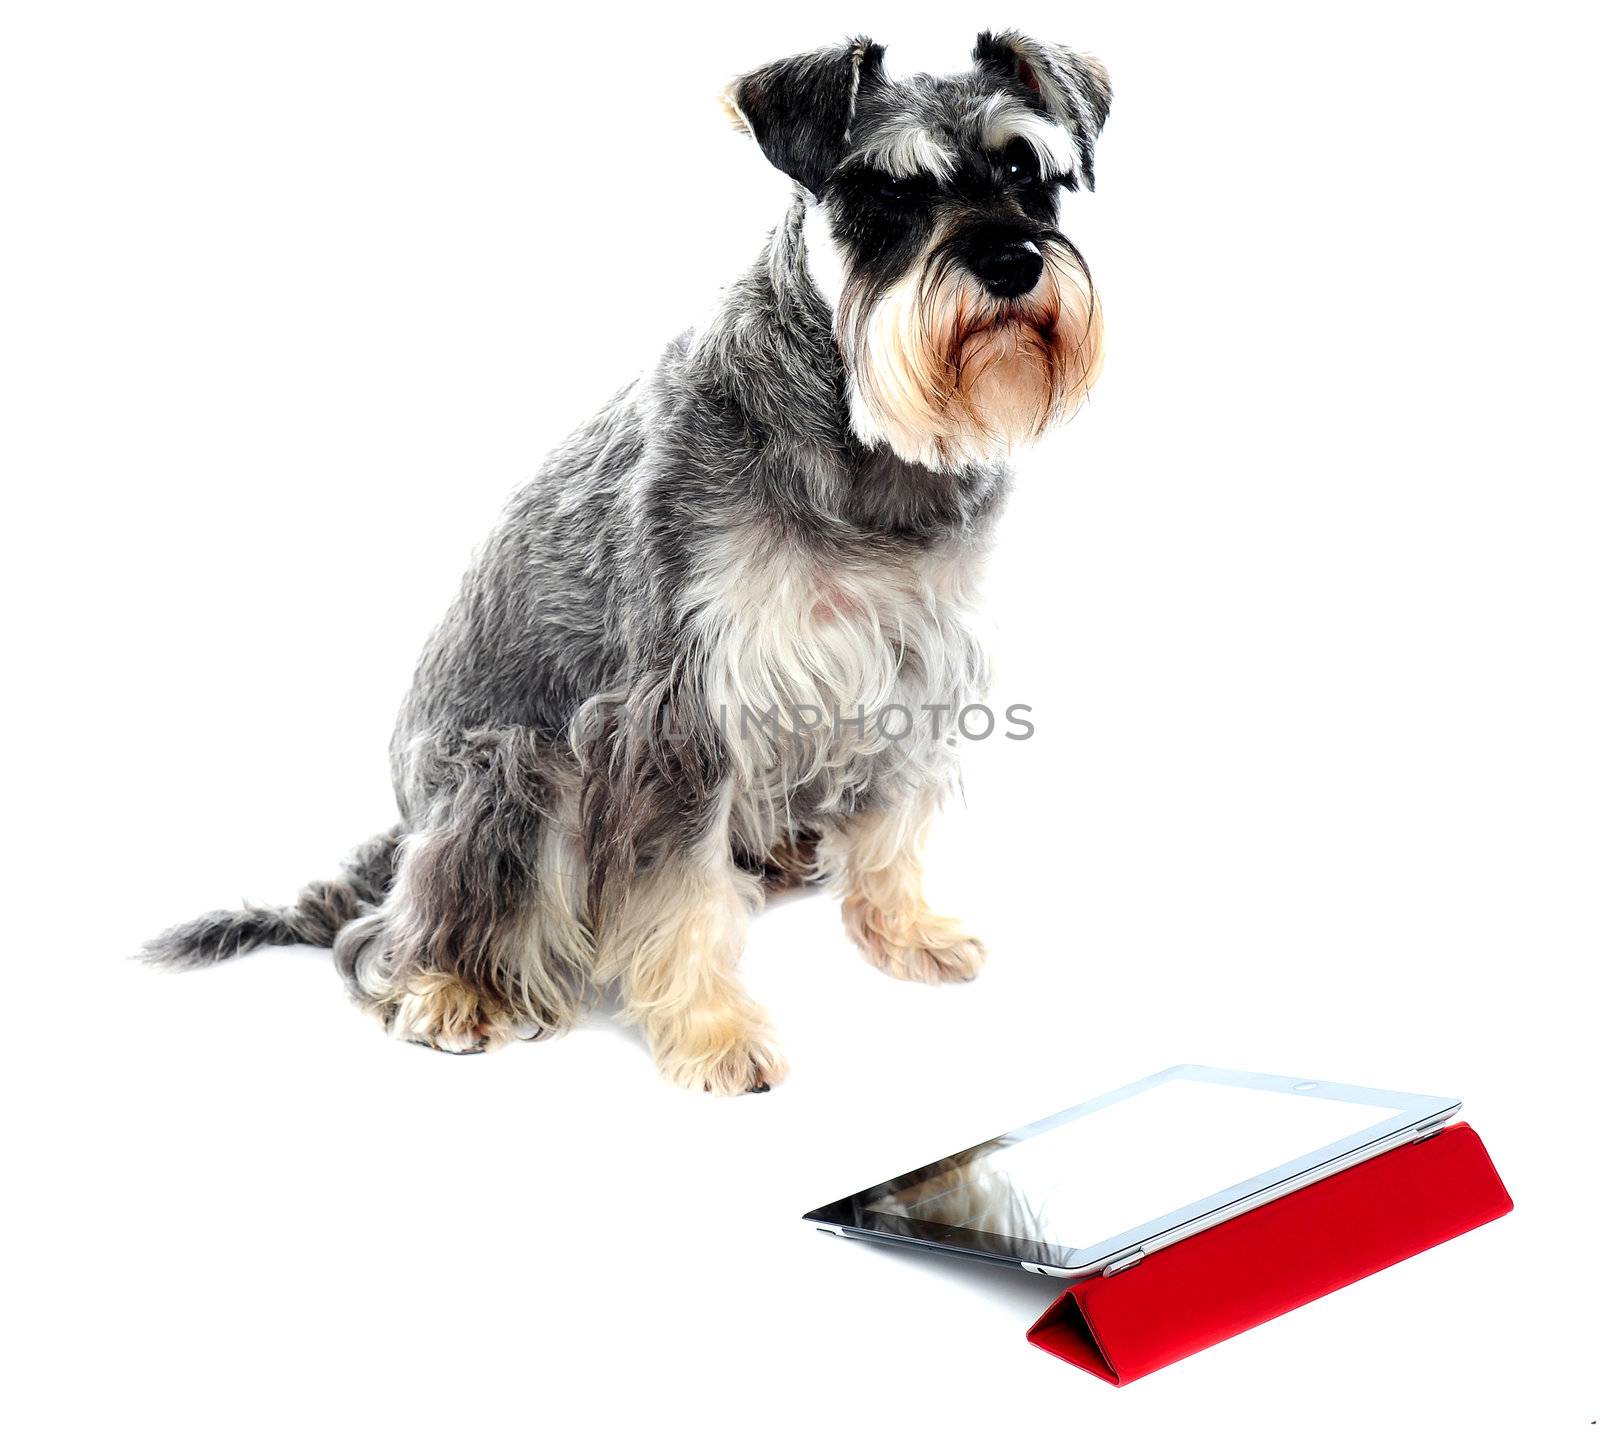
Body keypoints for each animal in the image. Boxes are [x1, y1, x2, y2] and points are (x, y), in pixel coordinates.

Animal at [147, 30, 1113, 1088]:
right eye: (883, 192)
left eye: (1027, 173)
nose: (1012, 262)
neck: (859, 436)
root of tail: (405, 820)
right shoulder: (678, 711)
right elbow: (680, 888)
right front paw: (714, 1032)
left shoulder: (913, 663)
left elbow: (893, 826)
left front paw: (906, 930)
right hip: (512, 778)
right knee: (397, 927)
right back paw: (450, 989)